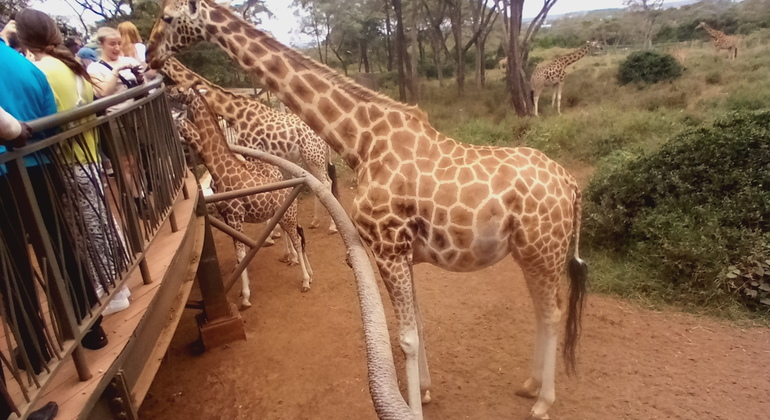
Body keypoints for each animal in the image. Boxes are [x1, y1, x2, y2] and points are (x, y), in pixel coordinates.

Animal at [160, 56, 338, 235]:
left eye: (178, 90)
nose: (167, 92)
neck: (234, 114)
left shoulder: (254, 152)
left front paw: (272, 233)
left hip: (313, 155)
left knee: (326, 182)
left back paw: (332, 226)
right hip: (308, 157)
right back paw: (315, 222)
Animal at [168, 86, 312, 308]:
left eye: (180, 91)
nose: (169, 91)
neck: (220, 169)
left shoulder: (235, 216)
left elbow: (241, 252)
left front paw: (245, 296)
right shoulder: (227, 217)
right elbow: (239, 252)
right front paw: (241, 289)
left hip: (287, 214)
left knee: (297, 238)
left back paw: (304, 279)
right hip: (284, 214)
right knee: (297, 233)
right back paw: (300, 266)